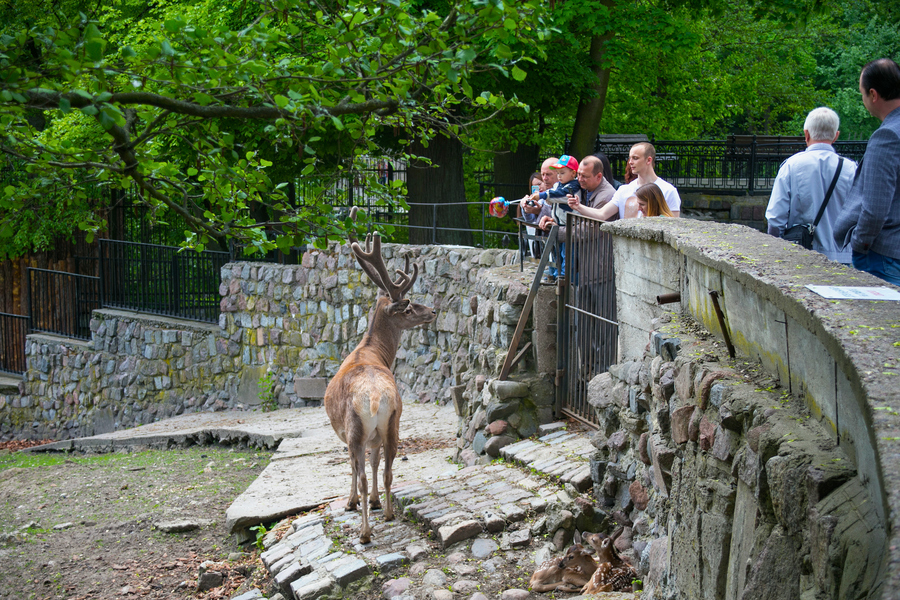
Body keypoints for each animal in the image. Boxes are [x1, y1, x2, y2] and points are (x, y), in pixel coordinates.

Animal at [324, 209, 436, 548]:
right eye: (409, 307)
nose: (433, 311)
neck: (371, 351)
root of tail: (374, 398)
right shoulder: (376, 434)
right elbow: (376, 463)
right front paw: (374, 502)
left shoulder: (347, 434)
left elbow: (355, 468)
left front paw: (352, 503)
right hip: (393, 421)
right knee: (387, 469)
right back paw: (386, 512)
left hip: (356, 427)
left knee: (360, 473)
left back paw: (364, 532)